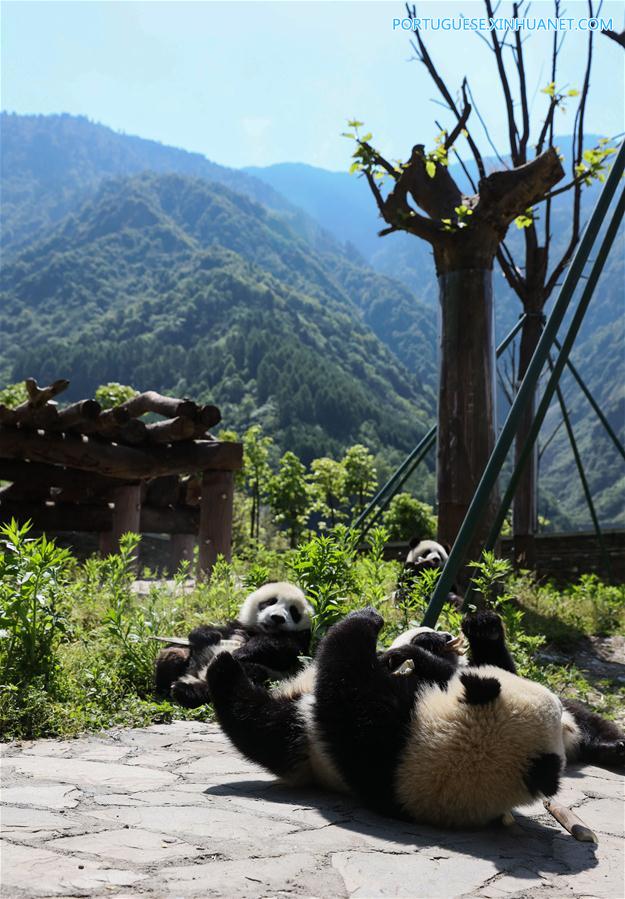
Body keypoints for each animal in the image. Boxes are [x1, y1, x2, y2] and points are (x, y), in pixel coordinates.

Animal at [154, 584, 314, 712]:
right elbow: (215, 632)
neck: (260, 631)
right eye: (270, 602)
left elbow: (285, 650)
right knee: (174, 653)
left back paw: (185, 692)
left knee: (246, 674)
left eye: (294, 612)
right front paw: (207, 635)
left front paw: (242, 651)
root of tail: (196, 677)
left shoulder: (300, 642)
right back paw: (167, 686)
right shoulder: (237, 627)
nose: (278, 617)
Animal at [207, 604, 568, 828]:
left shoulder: (393, 745)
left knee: (260, 725)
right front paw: (471, 631)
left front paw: (368, 619)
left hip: (302, 740)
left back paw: (224, 668)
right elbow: (450, 670)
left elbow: (347, 685)